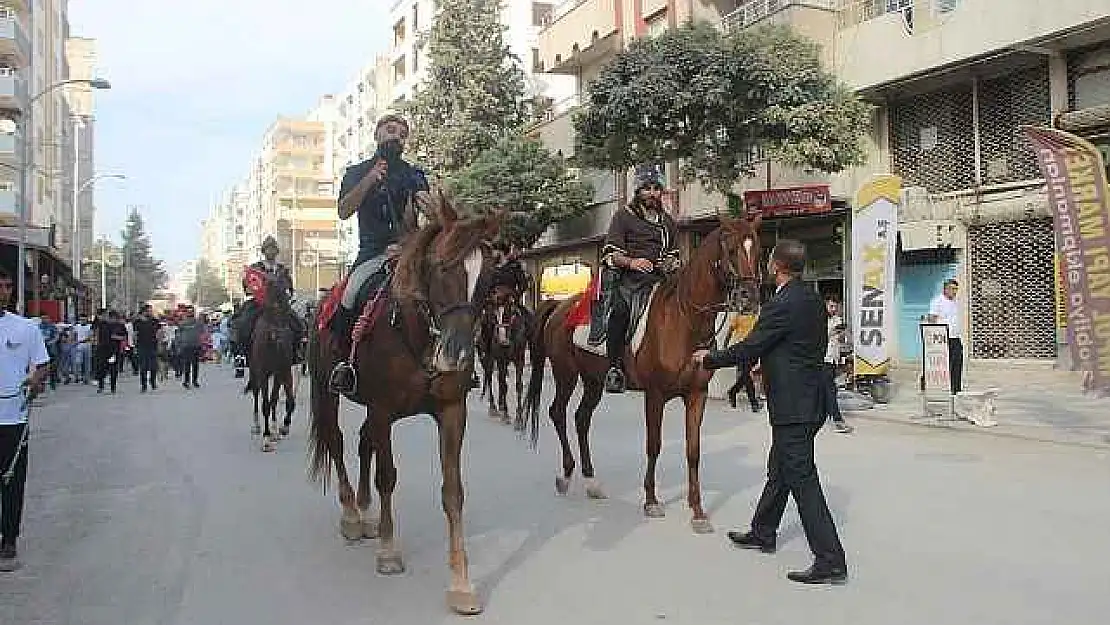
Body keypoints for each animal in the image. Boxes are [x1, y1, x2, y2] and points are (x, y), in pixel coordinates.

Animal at [246, 276, 297, 452]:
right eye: (270, 291)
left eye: (287, 290)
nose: (279, 335)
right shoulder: (262, 373)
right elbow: (265, 404)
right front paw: (266, 438)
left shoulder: (282, 371)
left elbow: (277, 400)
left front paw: (277, 430)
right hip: (255, 372)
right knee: (256, 394)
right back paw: (256, 426)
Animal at [306, 194, 501, 617]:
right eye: (442, 267)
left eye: (489, 277)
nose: (458, 355)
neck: (416, 334)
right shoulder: (382, 411)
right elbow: (387, 477)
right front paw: (388, 551)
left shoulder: (451, 412)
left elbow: (452, 491)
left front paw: (461, 584)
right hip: (327, 395)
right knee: (336, 442)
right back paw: (351, 514)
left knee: (362, 442)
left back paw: (365, 511)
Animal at [521, 215, 763, 532]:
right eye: (731, 249)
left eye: (757, 249)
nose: (749, 297)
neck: (684, 319)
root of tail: (560, 305)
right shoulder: (655, 395)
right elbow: (654, 445)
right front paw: (651, 501)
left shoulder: (697, 395)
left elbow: (693, 450)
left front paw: (698, 512)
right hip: (566, 374)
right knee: (558, 413)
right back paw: (566, 475)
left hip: (593, 381)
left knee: (581, 419)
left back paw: (591, 481)